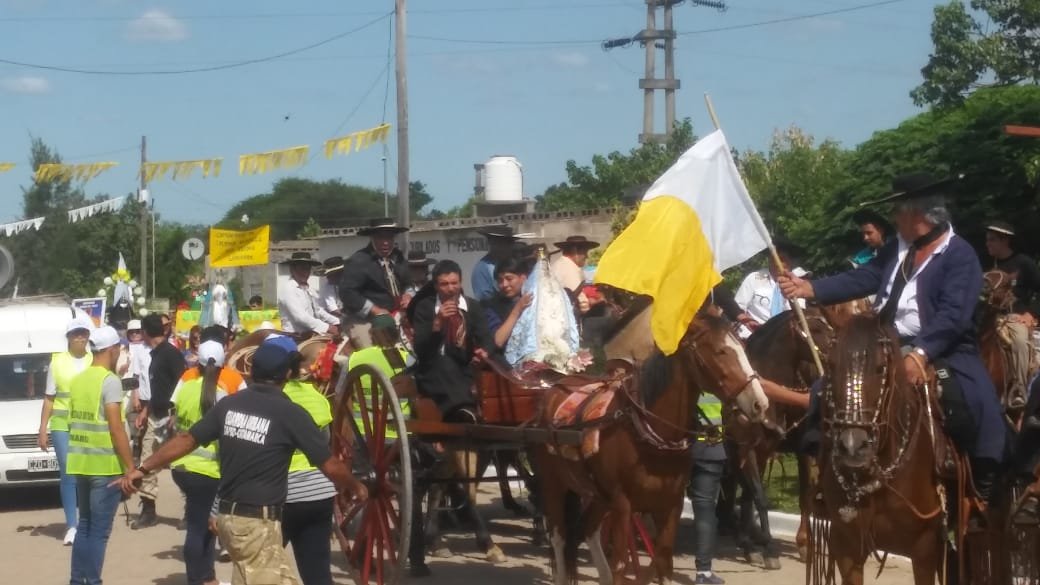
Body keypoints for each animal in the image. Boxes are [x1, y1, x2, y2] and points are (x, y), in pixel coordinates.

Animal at [536, 306, 773, 582]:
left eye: (743, 349)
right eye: (720, 351)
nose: (760, 403)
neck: (649, 433)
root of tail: (555, 388)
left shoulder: (670, 504)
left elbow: (663, 560)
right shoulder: (622, 505)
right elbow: (620, 564)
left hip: (597, 494)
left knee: (588, 529)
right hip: (554, 484)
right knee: (559, 537)